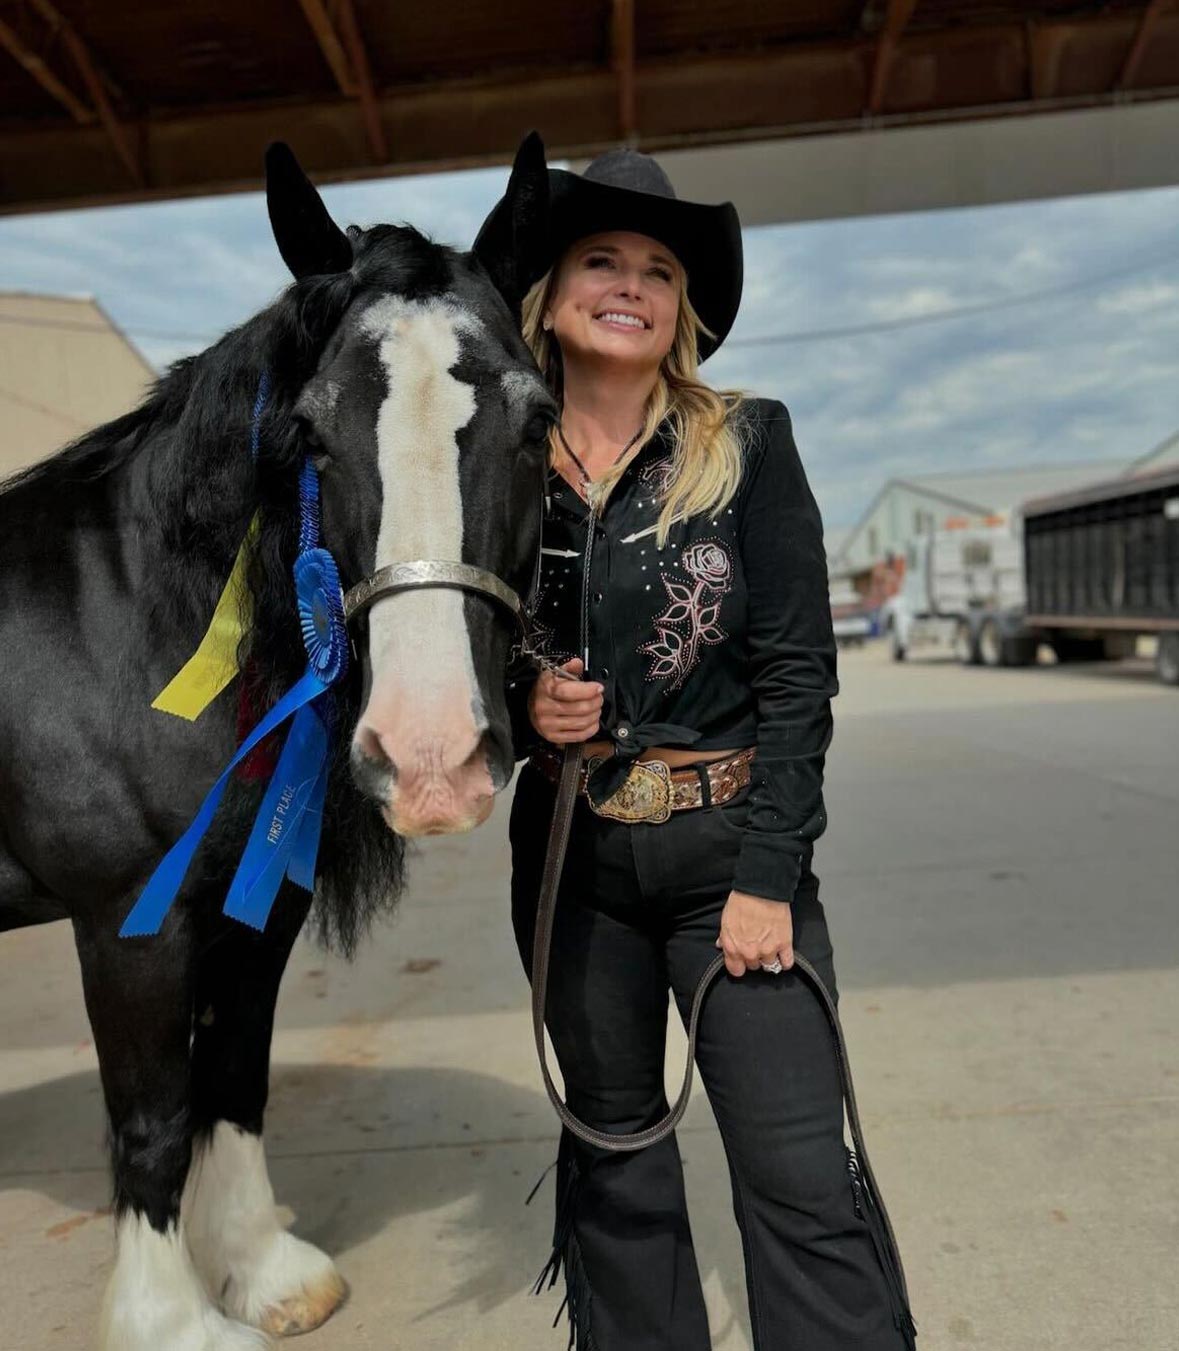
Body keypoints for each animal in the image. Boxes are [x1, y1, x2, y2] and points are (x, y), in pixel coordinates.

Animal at [0, 139, 551, 1351]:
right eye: (311, 432)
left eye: (537, 420)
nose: (432, 756)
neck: (130, 623)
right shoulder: (129, 919)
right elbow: (156, 1114)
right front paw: (171, 1322)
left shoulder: (254, 904)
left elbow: (232, 1080)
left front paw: (262, 1268)